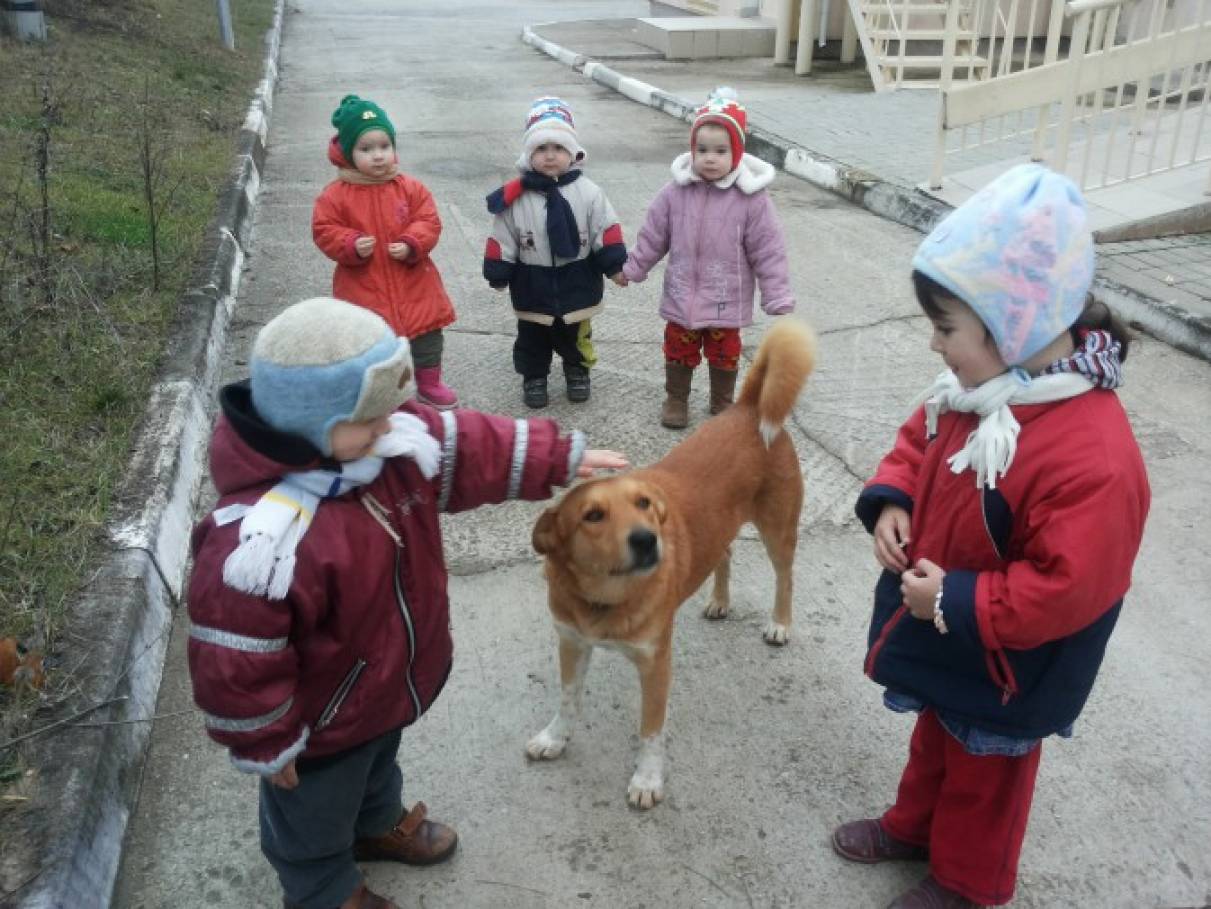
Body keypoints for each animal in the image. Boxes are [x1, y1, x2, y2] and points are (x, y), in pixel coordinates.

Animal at [527, 319, 813, 808]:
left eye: (643, 503)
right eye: (593, 515)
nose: (647, 540)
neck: (605, 598)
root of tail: (748, 407)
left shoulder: (655, 663)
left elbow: (651, 731)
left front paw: (647, 779)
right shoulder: (572, 642)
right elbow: (568, 699)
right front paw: (555, 737)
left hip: (778, 530)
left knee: (785, 576)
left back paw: (779, 623)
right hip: (721, 526)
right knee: (725, 553)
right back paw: (719, 601)